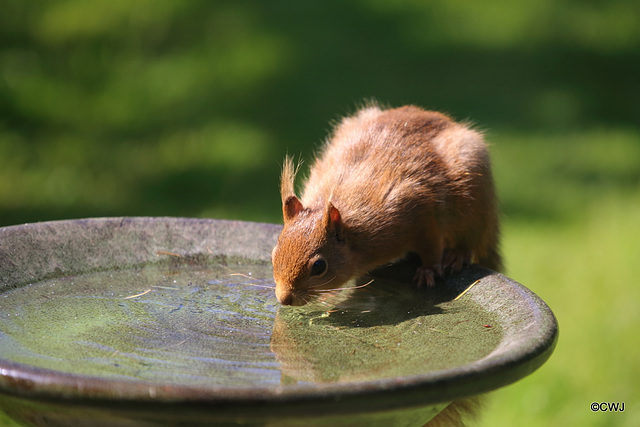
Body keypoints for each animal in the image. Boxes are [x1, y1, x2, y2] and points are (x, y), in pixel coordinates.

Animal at [270, 104, 500, 306]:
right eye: (274, 253)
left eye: (319, 266)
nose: (284, 299)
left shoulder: (418, 210)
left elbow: (431, 246)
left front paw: (428, 270)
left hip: (473, 200)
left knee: (471, 238)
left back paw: (457, 254)